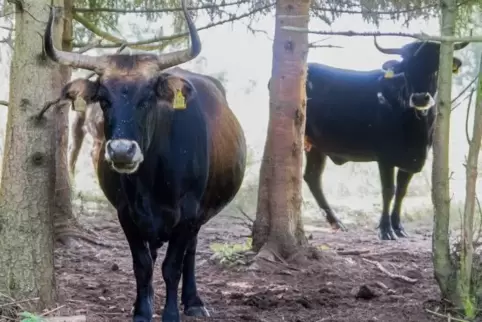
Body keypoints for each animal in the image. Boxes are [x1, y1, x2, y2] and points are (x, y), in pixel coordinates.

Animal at [302, 37, 466, 239]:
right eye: (407, 69)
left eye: (435, 67)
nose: (420, 98)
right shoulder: (385, 157)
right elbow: (388, 190)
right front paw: (386, 229)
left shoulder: (413, 159)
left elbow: (402, 191)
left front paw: (398, 226)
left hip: (317, 147)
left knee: (312, 177)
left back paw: (336, 222)